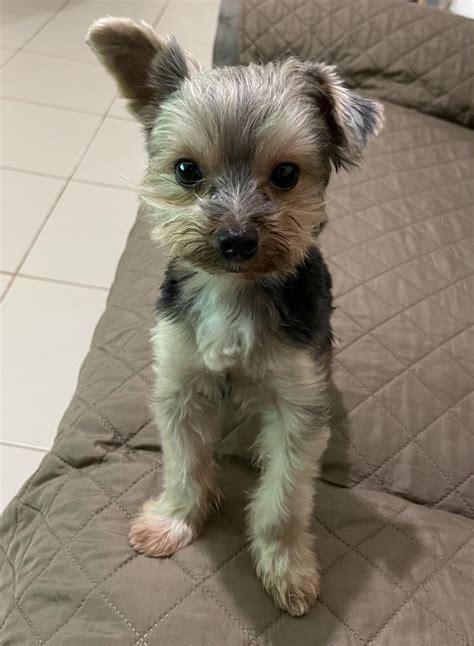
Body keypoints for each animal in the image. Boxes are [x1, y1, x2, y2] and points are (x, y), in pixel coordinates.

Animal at [87, 17, 384, 620]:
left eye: (287, 174)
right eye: (185, 170)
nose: (236, 240)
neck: (234, 290)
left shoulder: (298, 406)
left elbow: (284, 499)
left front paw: (286, 569)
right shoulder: (179, 384)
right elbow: (183, 464)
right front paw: (176, 520)